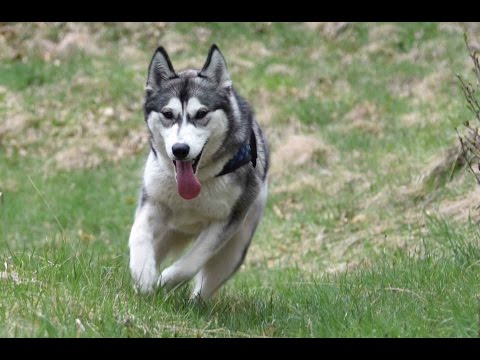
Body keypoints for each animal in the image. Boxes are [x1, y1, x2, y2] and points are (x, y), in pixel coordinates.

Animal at [129, 43, 268, 300]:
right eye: (168, 114)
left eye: (201, 114)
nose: (180, 149)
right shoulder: (152, 202)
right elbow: (139, 235)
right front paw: (144, 275)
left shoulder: (226, 221)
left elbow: (191, 263)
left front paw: (165, 281)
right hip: (168, 231)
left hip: (235, 248)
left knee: (207, 283)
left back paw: (195, 303)